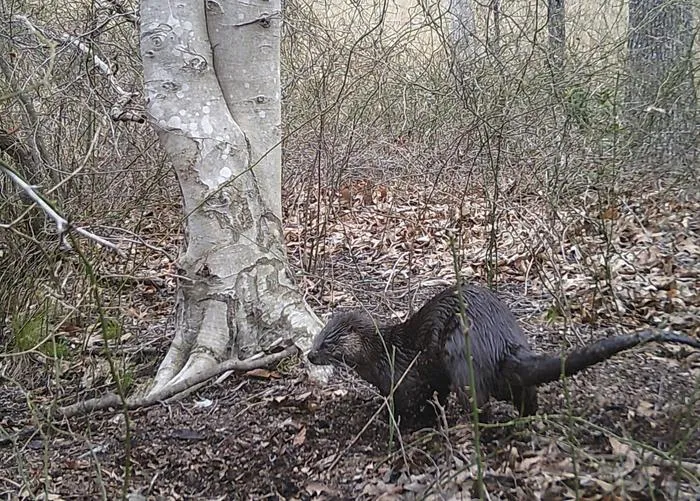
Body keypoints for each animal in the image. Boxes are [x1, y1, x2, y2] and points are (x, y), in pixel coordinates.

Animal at [307, 283, 700, 426]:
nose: (309, 356)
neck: (384, 354)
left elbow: (414, 403)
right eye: (315, 337)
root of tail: (502, 344)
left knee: (479, 402)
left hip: (460, 358)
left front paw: (402, 424)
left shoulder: (407, 378)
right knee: (525, 393)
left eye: (327, 344)